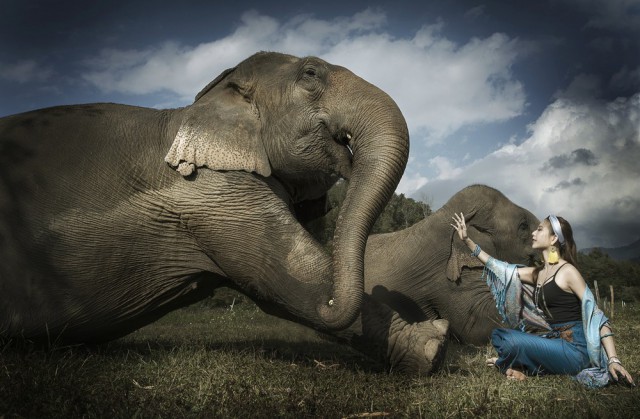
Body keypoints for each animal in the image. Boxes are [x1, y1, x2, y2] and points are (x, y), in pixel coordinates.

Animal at [0, 51, 448, 374]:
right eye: (311, 73)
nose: (349, 152)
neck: (203, 103)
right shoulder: (215, 192)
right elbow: (292, 280)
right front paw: (434, 347)